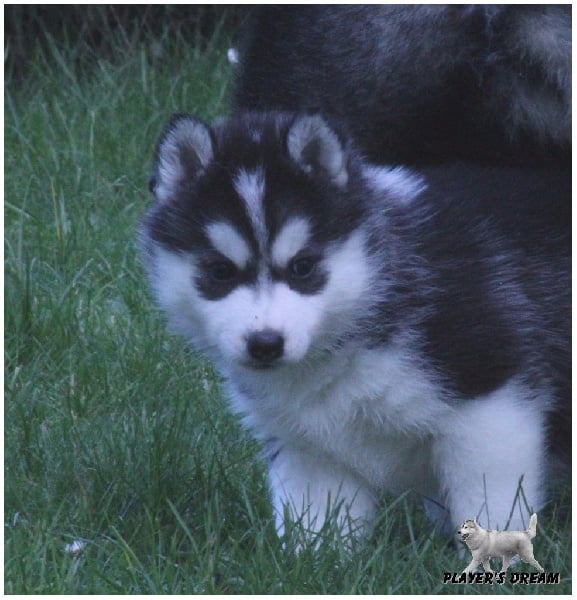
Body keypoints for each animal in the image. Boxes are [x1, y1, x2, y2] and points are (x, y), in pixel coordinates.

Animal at [140, 111, 570, 540]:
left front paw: (495, 553)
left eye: (303, 266)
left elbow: (487, 503)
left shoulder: (491, 401)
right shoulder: (308, 445)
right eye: (219, 271)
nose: (265, 343)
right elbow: (318, 521)